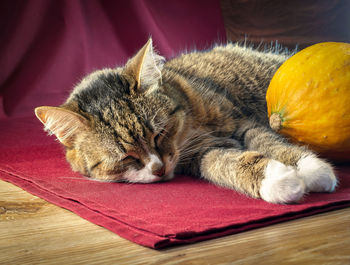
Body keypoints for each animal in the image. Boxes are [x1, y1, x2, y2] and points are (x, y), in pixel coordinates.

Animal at [34, 38, 338, 203]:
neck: (191, 126)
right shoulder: (203, 153)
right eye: (126, 157)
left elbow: (269, 142)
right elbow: (227, 163)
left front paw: (310, 168)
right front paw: (278, 179)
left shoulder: (239, 122)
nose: (158, 169)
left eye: (159, 134)